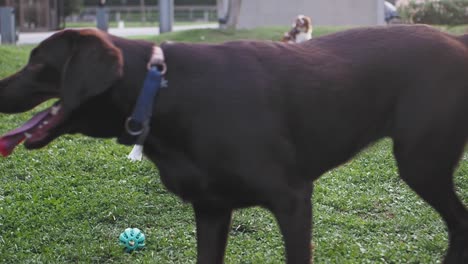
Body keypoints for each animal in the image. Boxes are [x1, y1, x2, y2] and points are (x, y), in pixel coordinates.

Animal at [0, 24, 468, 262]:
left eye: (38, 63)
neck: (164, 91)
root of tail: (455, 39)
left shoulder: (293, 200)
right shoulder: (211, 211)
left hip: (420, 161)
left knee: (459, 221)